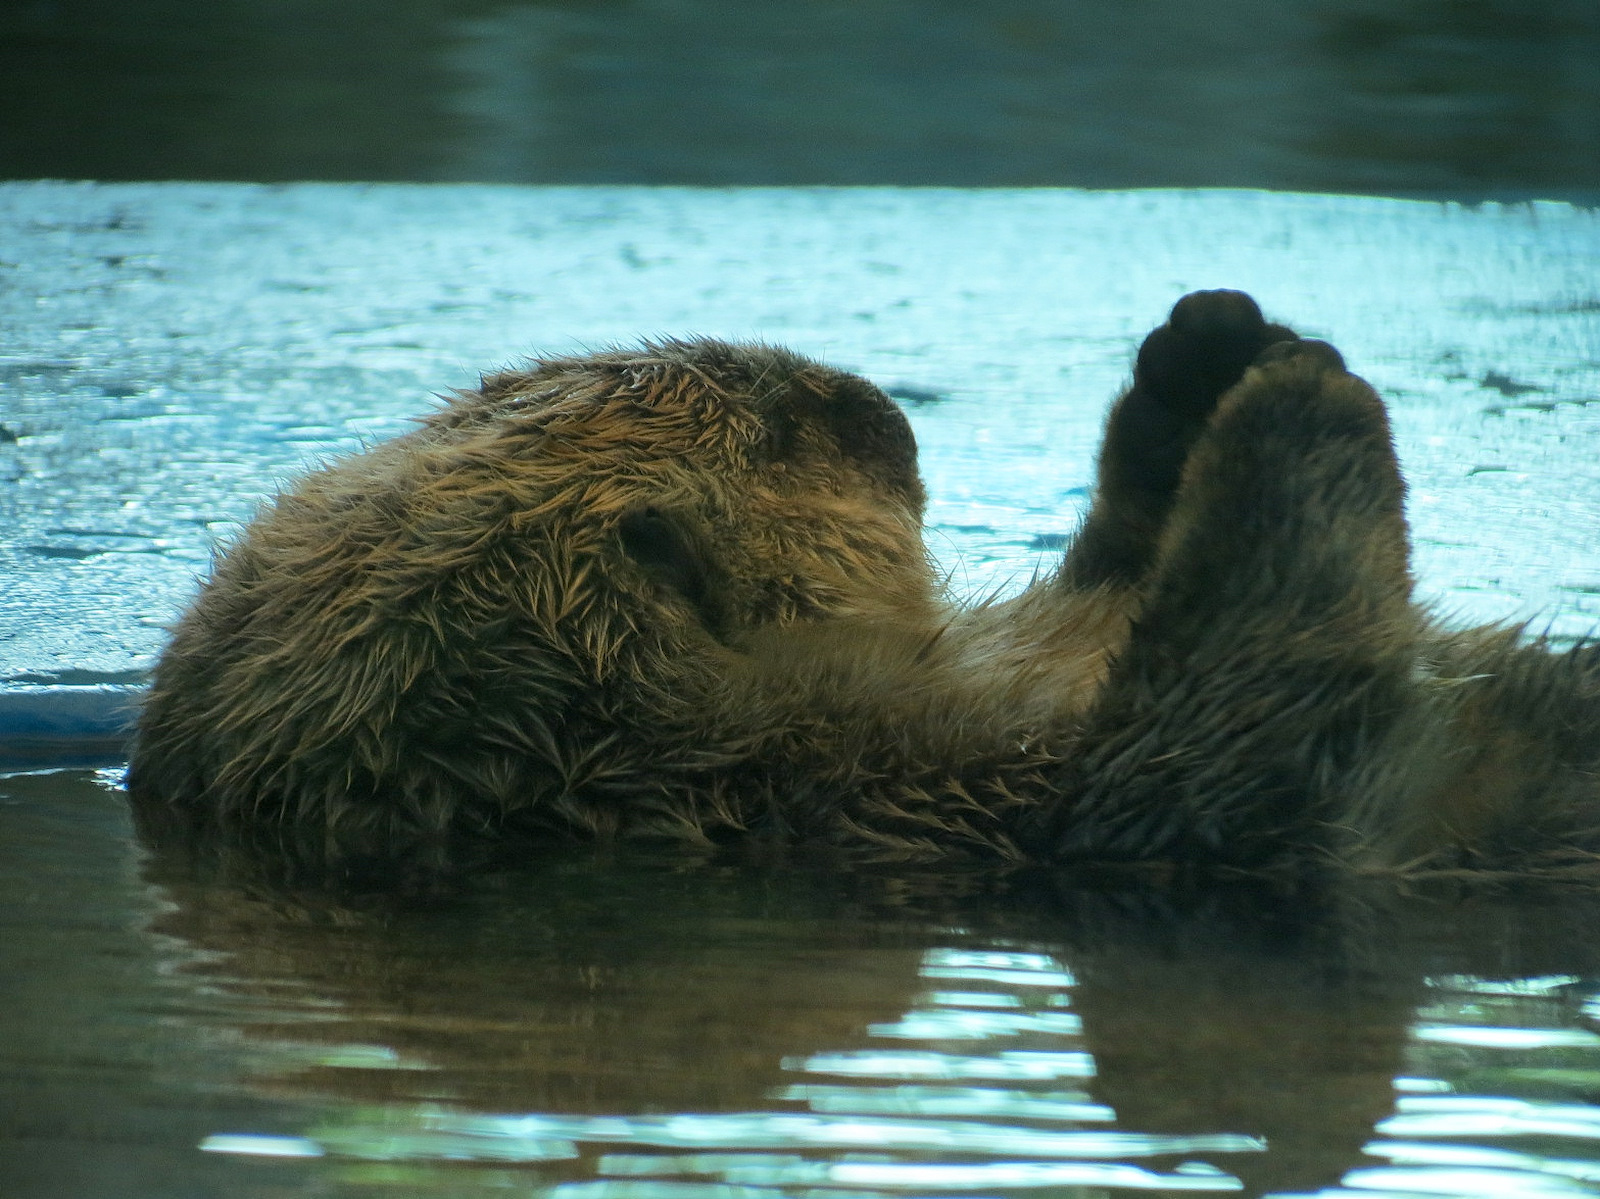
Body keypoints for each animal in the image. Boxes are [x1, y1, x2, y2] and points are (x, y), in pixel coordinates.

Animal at [127, 290, 1600, 875]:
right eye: (779, 428)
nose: (871, 400)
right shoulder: (1011, 805)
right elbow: (1236, 740)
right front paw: (1292, 404)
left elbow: (1127, 576)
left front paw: (1207, 354)